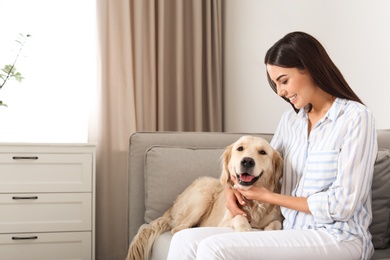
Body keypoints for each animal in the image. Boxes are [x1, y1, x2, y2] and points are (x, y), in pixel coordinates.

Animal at [128, 136, 284, 260]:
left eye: (262, 152)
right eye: (240, 148)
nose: (247, 161)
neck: (253, 202)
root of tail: (171, 207)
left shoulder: (276, 218)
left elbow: (277, 224)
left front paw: (268, 230)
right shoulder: (224, 222)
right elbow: (239, 217)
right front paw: (245, 229)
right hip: (204, 192)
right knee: (178, 229)